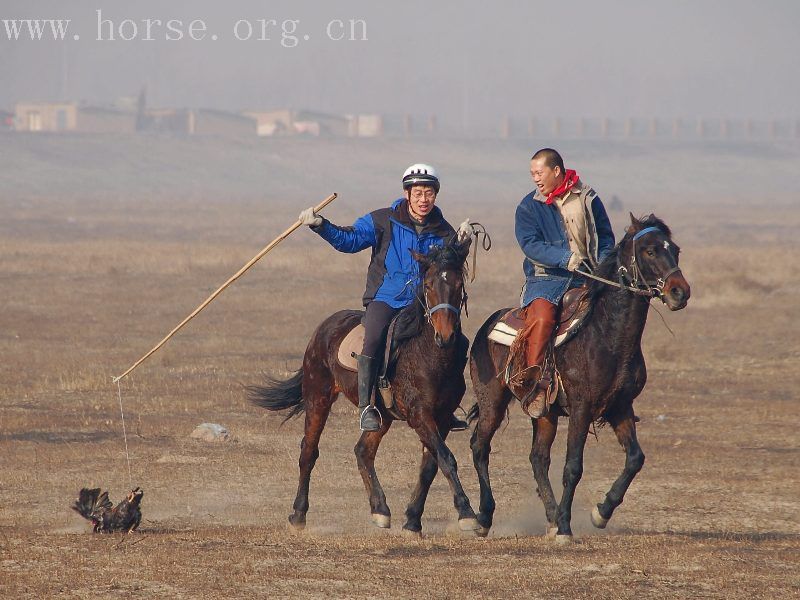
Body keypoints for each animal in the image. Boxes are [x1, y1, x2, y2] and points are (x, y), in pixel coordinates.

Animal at [248, 239, 482, 536]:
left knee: (363, 451)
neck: (430, 355)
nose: (446, 336)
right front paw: (467, 514)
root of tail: (324, 326)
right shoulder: (419, 415)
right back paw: (298, 514)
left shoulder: (441, 418)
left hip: (380, 416)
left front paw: (412, 520)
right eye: (428, 284)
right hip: (318, 397)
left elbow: (430, 466)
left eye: (458, 284)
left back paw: (380, 509)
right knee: (309, 451)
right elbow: (446, 458)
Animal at [472, 217, 692, 544]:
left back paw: (550, 517)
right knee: (480, 447)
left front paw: (601, 512)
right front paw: (566, 527)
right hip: (492, 403)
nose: (680, 292)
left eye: (675, 249)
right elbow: (573, 467)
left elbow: (635, 458)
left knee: (538, 459)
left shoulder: (620, 407)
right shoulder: (581, 408)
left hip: (545, 413)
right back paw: (484, 518)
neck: (606, 335)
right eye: (650, 250)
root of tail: (486, 326)